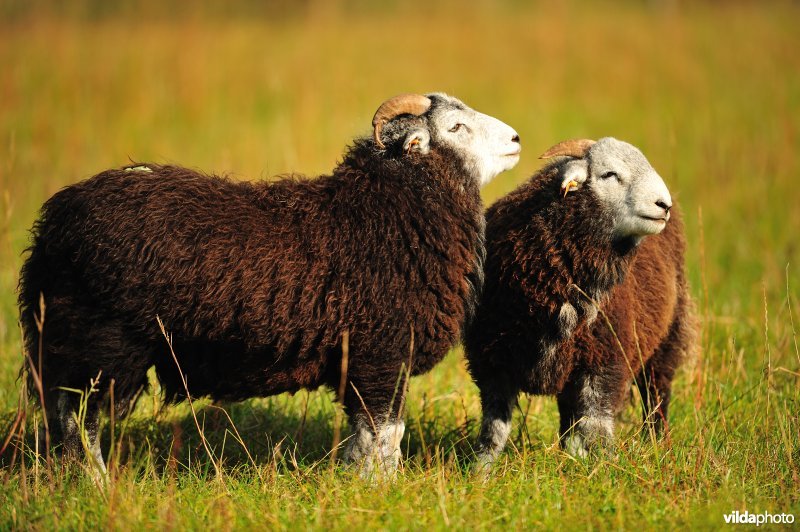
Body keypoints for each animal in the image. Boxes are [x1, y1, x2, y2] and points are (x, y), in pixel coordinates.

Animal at [20, 92, 524, 478]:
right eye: (455, 126)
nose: (517, 139)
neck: (387, 211)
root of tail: (53, 224)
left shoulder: (366, 362)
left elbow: (369, 438)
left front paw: (354, 481)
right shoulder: (381, 354)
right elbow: (385, 436)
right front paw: (381, 490)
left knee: (63, 420)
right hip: (100, 344)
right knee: (78, 422)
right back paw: (96, 485)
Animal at [466, 136, 696, 466]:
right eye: (609, 174)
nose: (663, 205)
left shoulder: (604, 361)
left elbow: (598, 426)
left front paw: (604, 469)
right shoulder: (491, 361)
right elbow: (493, 430)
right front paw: (479, 470)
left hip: (666, 340)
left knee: (656, 398)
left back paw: (656, 445)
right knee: (570, 416)